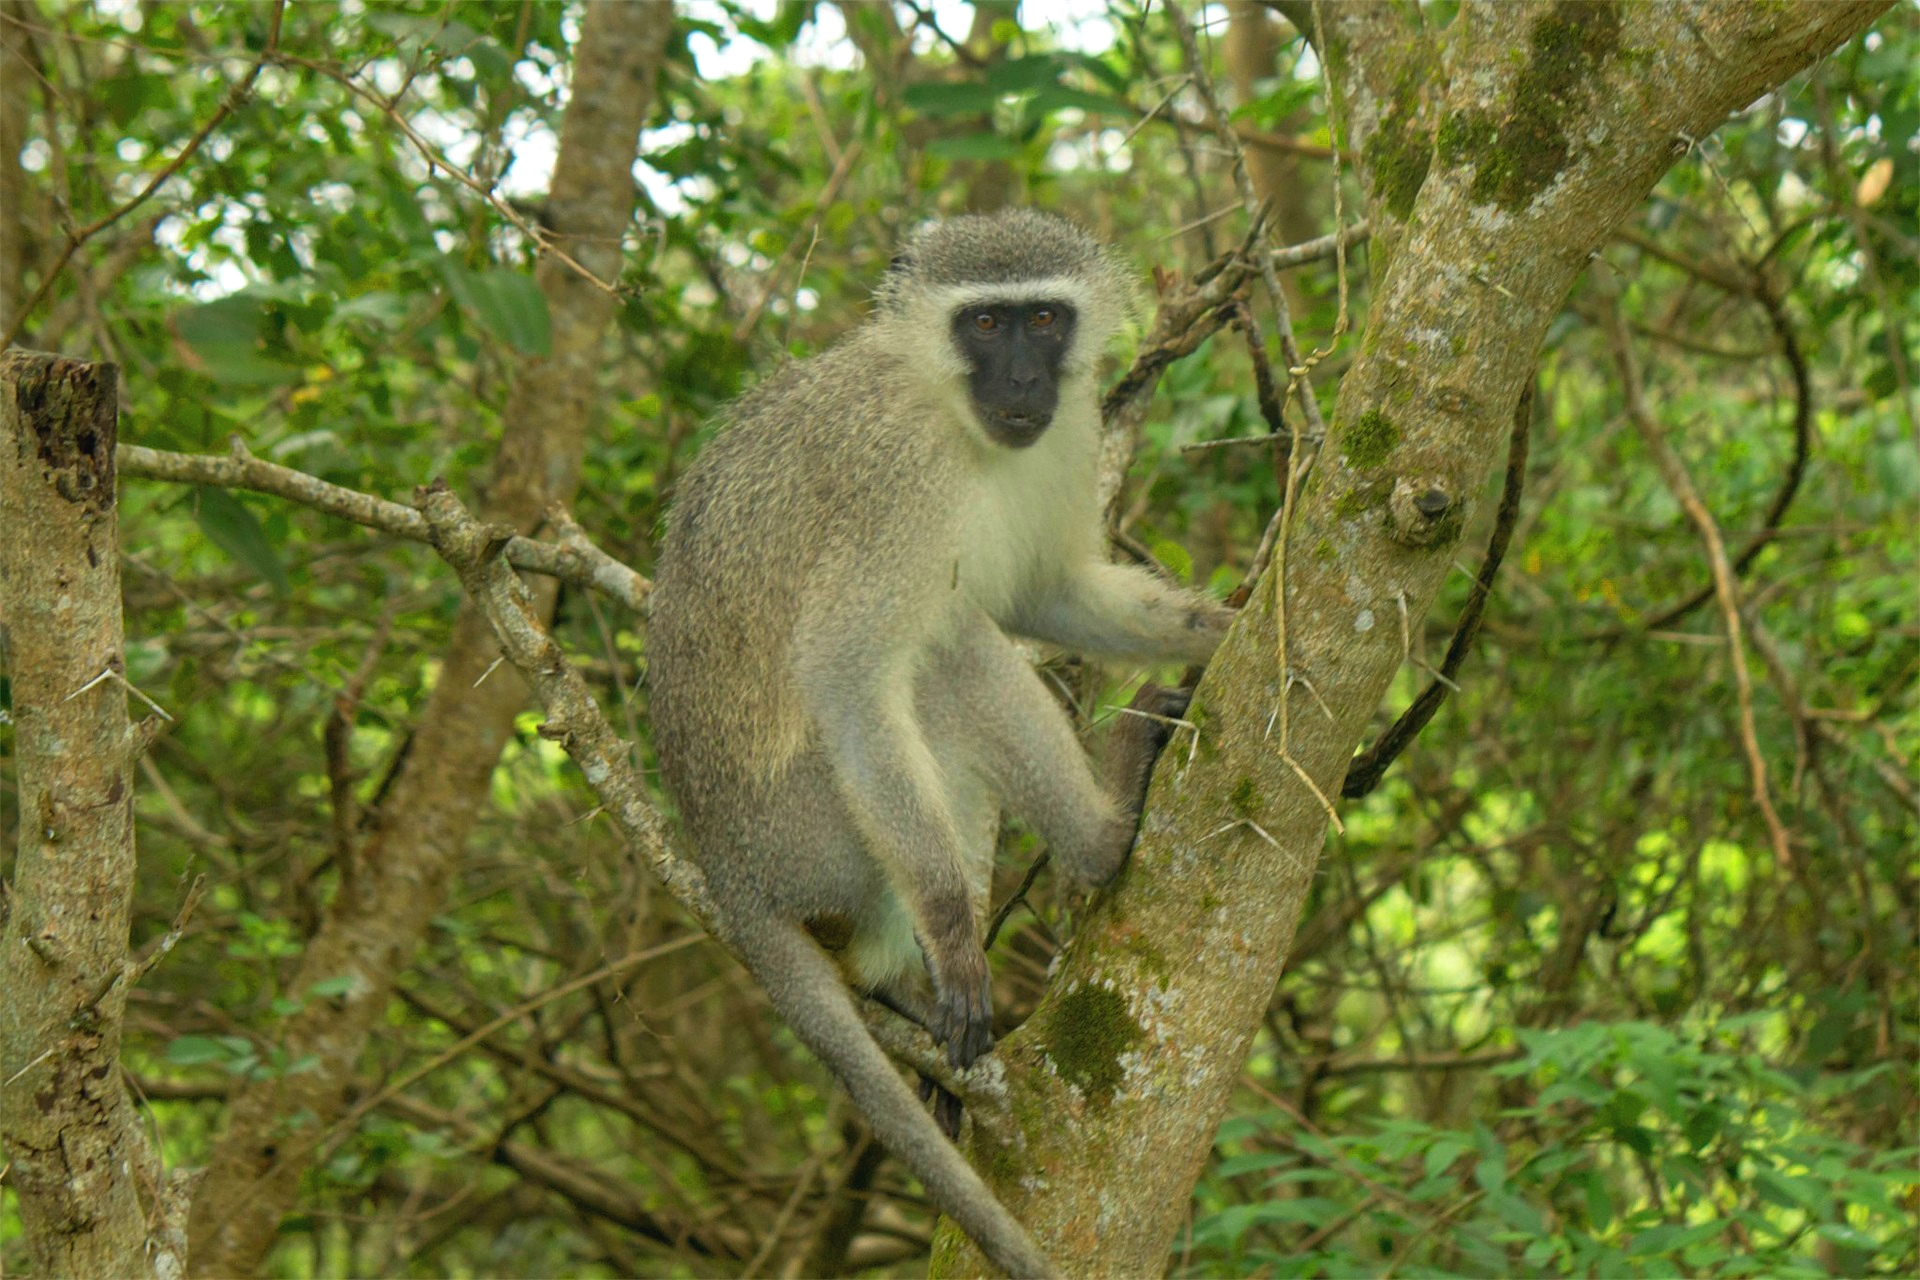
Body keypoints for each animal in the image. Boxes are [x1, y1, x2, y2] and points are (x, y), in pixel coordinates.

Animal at [652, 210, 1236, 1274]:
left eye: (1043, 319)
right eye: (985, 323)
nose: (1023, 382)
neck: (952, 414)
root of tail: (725, 863)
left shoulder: (1070, 431)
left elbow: (1047, 589)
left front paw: (1222, 628)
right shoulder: (898, 481)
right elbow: (848, 679)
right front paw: (958, 938)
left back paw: (892, 981)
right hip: (812, 827)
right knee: (944, 654)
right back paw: (1098, 837)